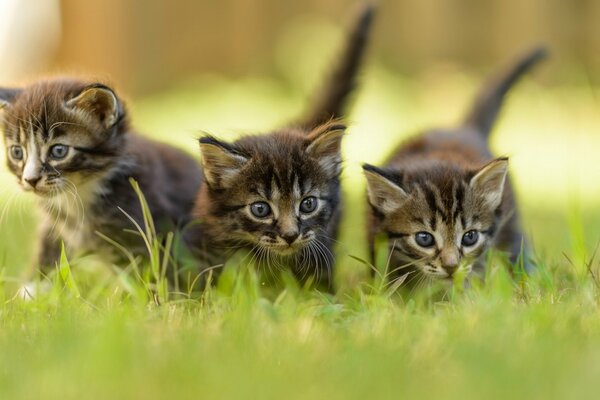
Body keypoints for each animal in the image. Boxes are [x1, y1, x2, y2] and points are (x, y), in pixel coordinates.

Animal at [0, 80, 203, 276]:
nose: (30, 180)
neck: (80, 193)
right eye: (17, 152)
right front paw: (33, 283)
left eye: (58, 151)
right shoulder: (54, 225)